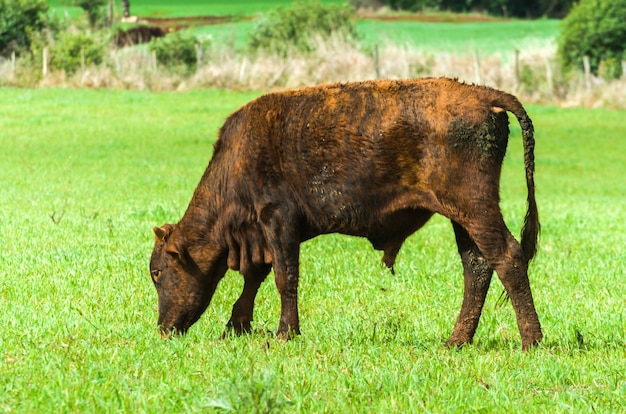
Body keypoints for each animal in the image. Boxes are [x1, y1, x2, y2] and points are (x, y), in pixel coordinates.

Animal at [149, 77, 540, 350]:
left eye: (157, 272)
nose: (163, 329)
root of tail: (484, 94)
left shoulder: (278, 220)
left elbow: (283, 277)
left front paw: (284, 333)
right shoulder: (261, 234)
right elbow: (255, 277)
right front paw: (236, 327)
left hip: (475, 207)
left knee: (506, 256)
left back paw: (531, 341)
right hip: (462, 217)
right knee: (476, 266)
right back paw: (456, 341)